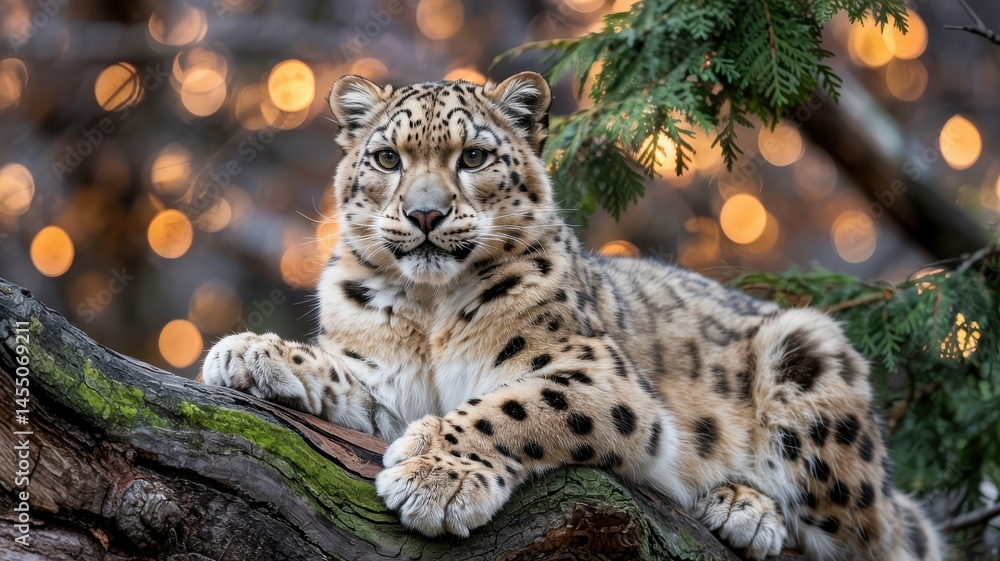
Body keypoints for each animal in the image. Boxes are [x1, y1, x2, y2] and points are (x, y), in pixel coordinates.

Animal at [201, 71, 941, 560]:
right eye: (388, 158)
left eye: (473, 156)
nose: (425, 214)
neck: (429, 308)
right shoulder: (387, 381)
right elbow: (337, 372)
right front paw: (252, 352)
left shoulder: (596, 376)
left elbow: (512, 407)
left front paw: (436, 475)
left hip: (812, 357)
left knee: (872, 538)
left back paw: (747, 508)